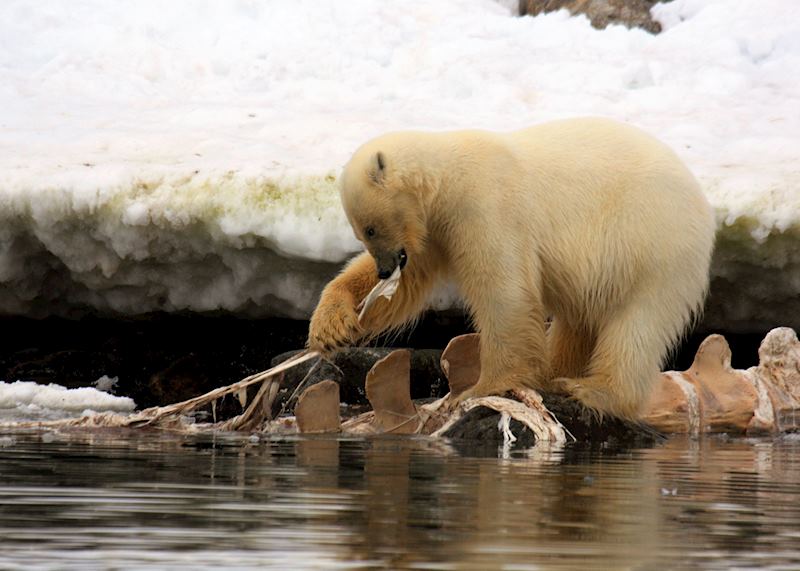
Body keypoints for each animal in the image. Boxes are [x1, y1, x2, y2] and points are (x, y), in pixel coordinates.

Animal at [308, 117, 716, 419]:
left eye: (369, 228)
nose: (384, 268)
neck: (448, 174)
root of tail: (702, 206)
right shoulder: (435, 230)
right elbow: (412, 280)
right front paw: (331, 326)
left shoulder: (485, 206)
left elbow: (502, 292)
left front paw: (479, 387)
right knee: (580, 319)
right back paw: (555, 373)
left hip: (651, 243)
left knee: (636, 324)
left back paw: (591, 390)